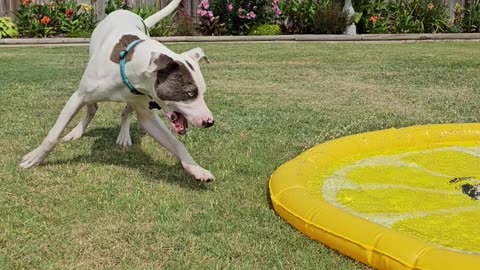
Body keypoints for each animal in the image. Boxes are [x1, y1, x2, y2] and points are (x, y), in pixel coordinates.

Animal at [19, 0, 216, 182]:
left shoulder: (146, 113)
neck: (129, 68)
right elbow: (53, 136)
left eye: (203, 93)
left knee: (126, 111)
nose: (210, 122)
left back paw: (123, 135)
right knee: (92, 108)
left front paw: (196, 169)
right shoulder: (77, 97)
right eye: (190, 94)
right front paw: (35, 157)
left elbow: (176, 144)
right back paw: (77, 131)